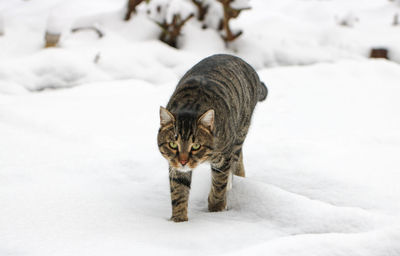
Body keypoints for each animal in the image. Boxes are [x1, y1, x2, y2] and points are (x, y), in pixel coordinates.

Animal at [158, 54, 268, 222]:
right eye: (173, 144)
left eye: (196, 146)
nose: (183, 162)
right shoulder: (175, 167)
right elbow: (179, 191)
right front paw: (179, 220)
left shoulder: (223, 158)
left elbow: (219, 184)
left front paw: (216, 211)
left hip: (239, 133)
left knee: (236, 159)